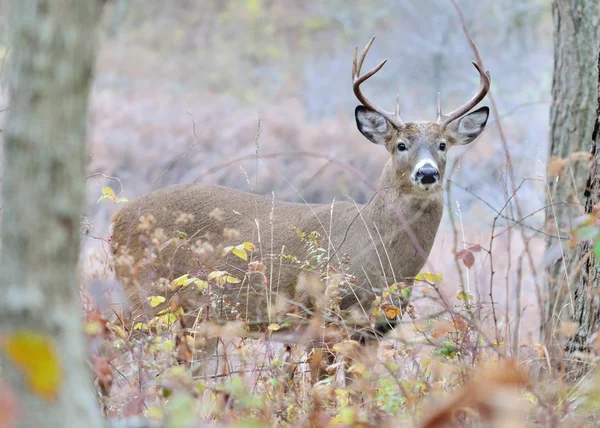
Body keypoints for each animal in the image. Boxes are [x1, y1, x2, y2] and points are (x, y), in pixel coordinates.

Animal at [110, 36, 490, 378]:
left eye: (442, 145)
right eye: (400, 145)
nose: (427, 173)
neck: (374, 250)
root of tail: (118, 218)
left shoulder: (373, 331)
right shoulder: (322, 317)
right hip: (147, 295)